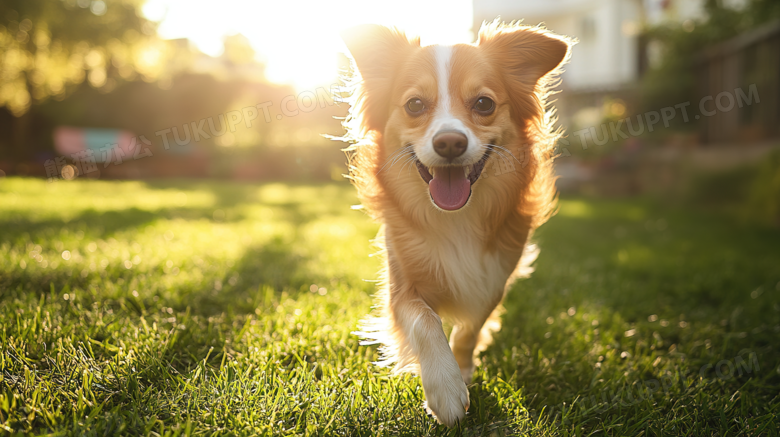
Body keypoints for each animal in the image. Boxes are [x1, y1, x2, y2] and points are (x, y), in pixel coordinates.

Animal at [342, 21, 572, 426]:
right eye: (415, 105)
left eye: (484, 104)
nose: (450, 142)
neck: (455, 218)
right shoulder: (401, 287)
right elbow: (425, 320)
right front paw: (445, 389)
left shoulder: (493, 277)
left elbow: (471, 326)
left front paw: (462, 370)